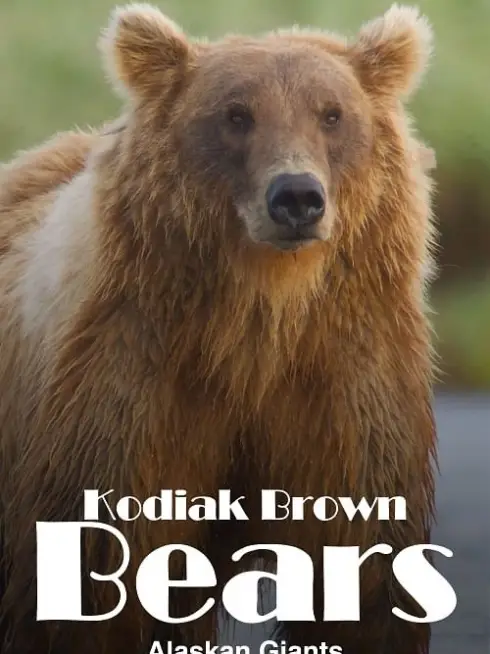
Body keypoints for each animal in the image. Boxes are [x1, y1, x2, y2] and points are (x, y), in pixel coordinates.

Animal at [0, 3, 437, 654]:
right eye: (236, 114)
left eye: (332, 113)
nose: (297, 197)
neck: (258, 318)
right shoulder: (127, 381)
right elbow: (93, 575)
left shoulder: (347, 379)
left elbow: (366, 579)